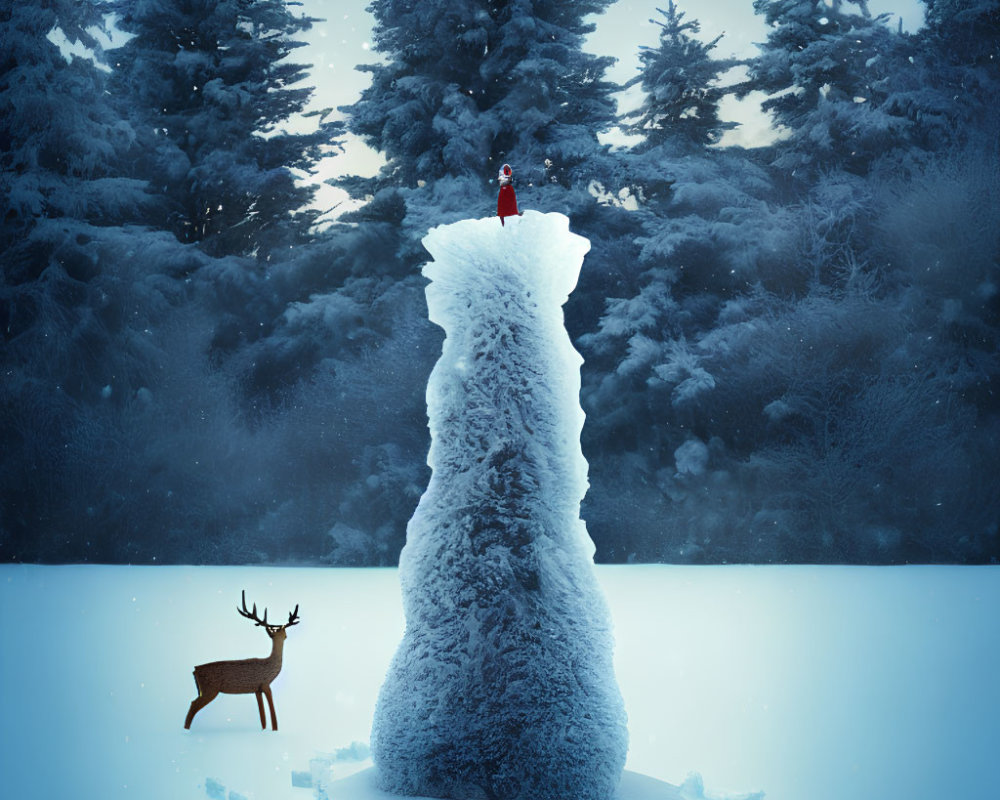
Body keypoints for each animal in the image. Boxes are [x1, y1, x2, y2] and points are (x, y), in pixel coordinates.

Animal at [184, 588, 298, 732]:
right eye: (283, 633)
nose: (285, 634)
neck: (271, 666)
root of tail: (195, 670)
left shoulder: (257, 689)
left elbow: (262, 717)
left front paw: (263, 730)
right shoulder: (266, 684)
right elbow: (273, 715)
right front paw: (275, 730)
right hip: (209, 690)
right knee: (193, 705)